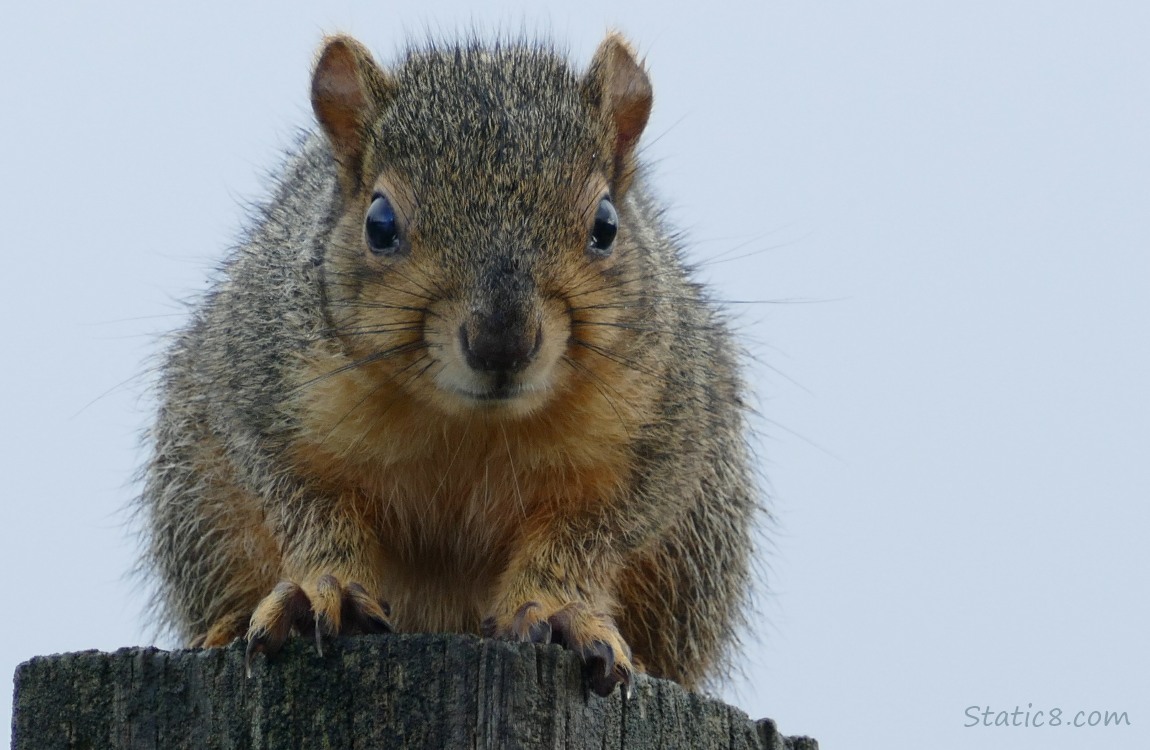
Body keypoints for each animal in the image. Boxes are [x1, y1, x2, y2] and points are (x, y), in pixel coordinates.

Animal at [136, 30, 754, 699]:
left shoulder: (668, 431)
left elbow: (593, 535)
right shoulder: (258, 387)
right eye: (379, 224)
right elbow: (305, 505)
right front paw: (322, 590)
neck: (468, 424)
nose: (501, 344)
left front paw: (559, 610)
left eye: (607, 225)